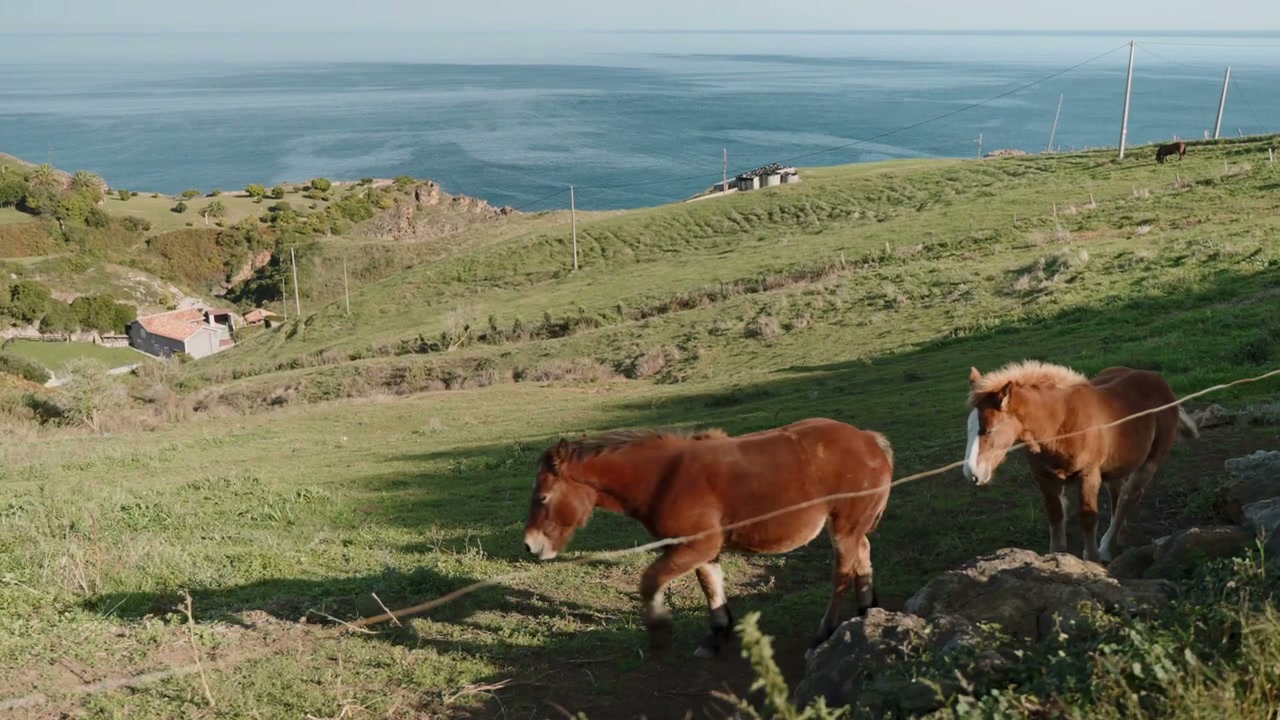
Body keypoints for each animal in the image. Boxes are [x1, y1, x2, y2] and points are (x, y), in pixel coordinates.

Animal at [523, 418, 893, 658]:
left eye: (542, 497)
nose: (531, 545)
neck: (664, 478)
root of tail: (870, 440)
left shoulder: (696, 546)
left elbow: (649, 582)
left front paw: (659, 629)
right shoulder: (699, 549)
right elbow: (711, 586)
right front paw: (717, 635)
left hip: (843, 528)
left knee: (842, 573)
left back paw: (823, 634)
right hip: (853, 529)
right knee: (863, 556)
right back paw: (866, 613)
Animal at [963, 361, 1198, 564]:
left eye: (989, 430)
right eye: (969, 427)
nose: (972, 473)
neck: (1060, 427)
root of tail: (1157, 380)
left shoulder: (1088, 475)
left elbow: (1087, 517)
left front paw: (1092, 559)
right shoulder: (1044, 478)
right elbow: (1056, 514)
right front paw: (1056, 558)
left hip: (1149, 461)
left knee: (1128, 496)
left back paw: (1107, 546)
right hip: (1114, 464)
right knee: (1117, 492)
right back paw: (1118, 537)